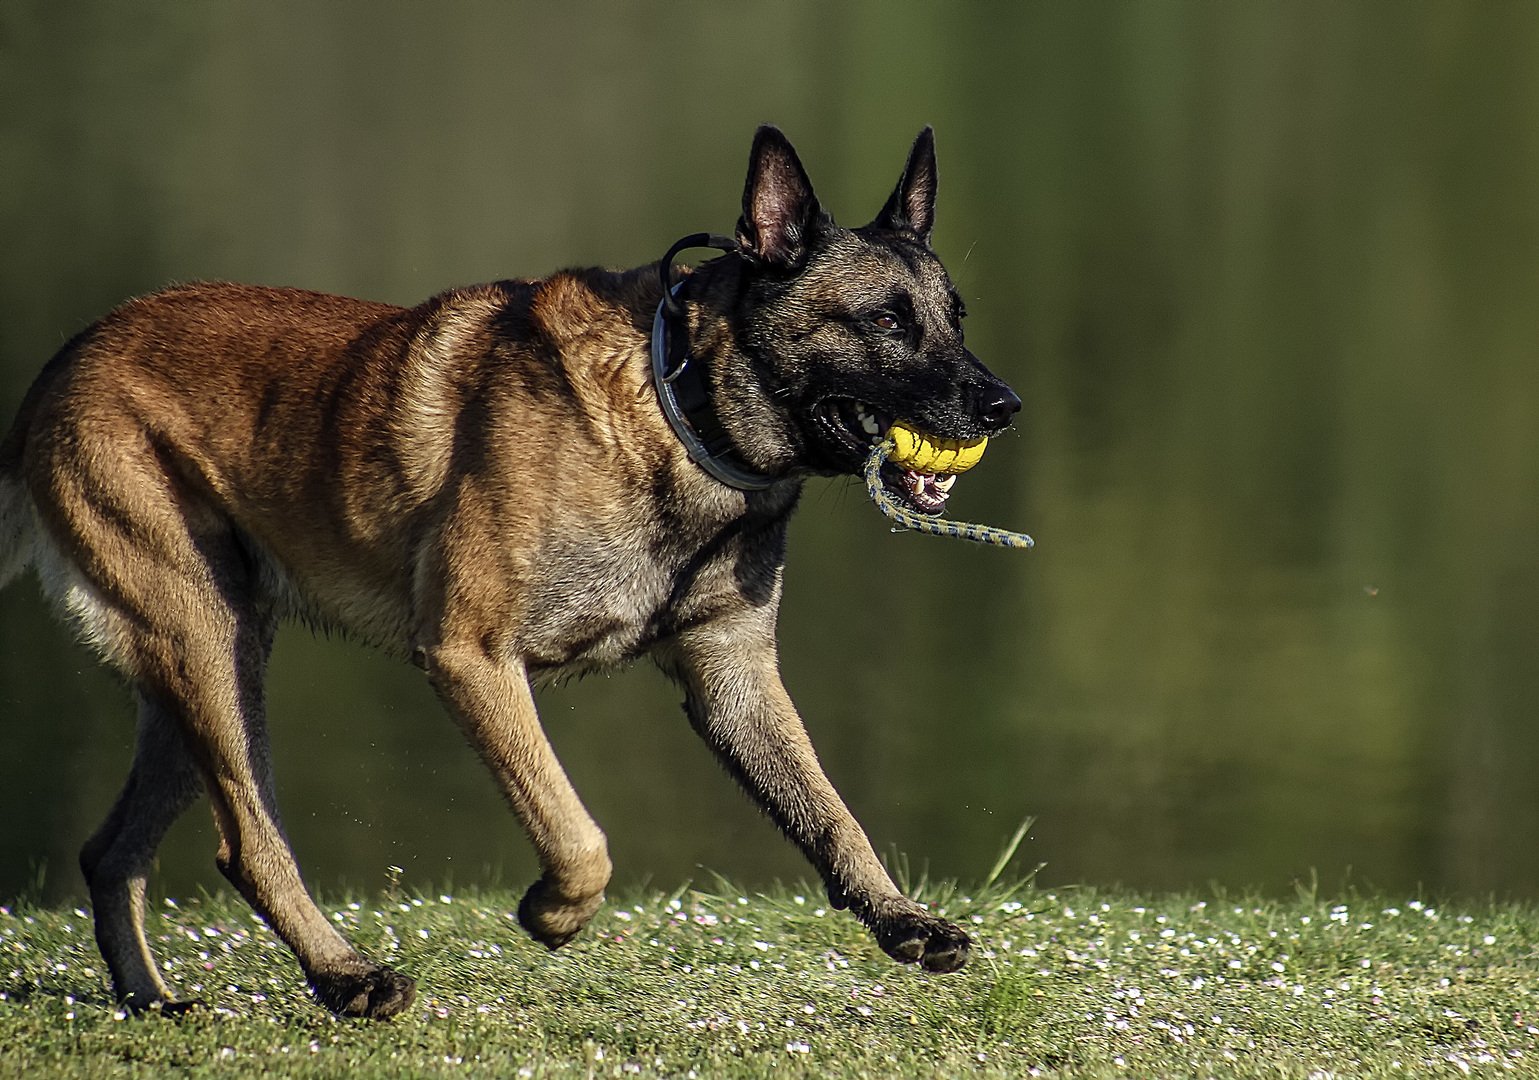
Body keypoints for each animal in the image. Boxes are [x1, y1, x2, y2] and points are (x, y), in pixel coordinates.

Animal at [0, 129, 1021, 1021]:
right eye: (884, 320)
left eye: (955, 317)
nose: (1004, 406)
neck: (675, 403)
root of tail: (59, 370)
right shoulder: (470, 657)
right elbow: (578, 832)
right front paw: (552, 914)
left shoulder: (734, 679)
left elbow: (829, 813)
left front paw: (900, 918)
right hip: (212, 646)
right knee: (248, 843)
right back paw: (347, 978)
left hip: (196, 676)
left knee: (111, 853)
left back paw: (151, 1001)